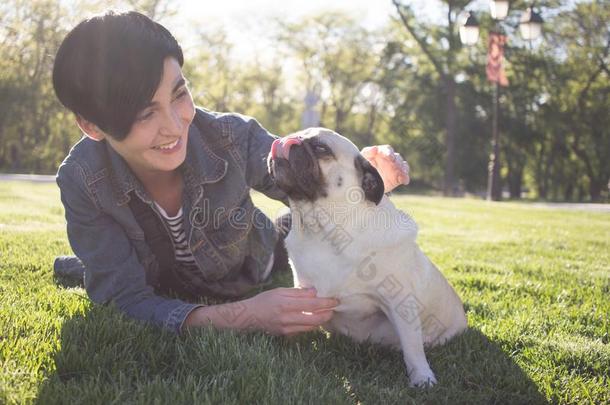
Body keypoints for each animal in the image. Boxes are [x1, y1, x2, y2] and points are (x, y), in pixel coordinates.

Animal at [266, 128, 466, 386]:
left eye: (321, 148)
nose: (287, 141)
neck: (321, 229)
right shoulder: (304, 293)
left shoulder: (399, 302)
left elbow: (412, 347)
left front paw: (422, 376)